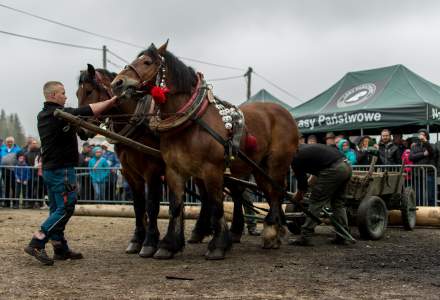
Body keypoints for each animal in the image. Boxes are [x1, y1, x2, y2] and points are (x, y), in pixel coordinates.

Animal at [111, 42, 300, 260]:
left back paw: (270, 232)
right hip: (257, 168)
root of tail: (285, 113)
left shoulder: (211, 170)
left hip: (276, 164)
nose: (117, 83)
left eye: (147, 62)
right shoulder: (174, 170)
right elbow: (176, 206)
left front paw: (218, 245)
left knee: (276, 193)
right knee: (269, 193)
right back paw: (274, 232)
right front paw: (168, 245)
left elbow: (216, 205)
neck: (190, 122)